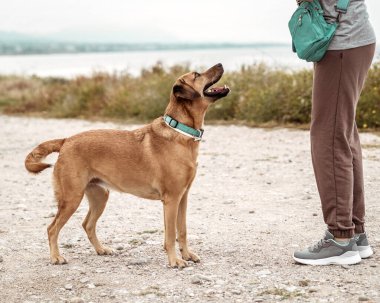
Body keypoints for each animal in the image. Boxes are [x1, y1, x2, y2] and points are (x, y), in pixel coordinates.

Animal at [26, 63, 232, 268]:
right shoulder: (172, 199)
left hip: (100, 196)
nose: (221, 64)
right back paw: (55, 257)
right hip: (72, 198)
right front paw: (175, 260)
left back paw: (101, 249)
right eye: (197, 75)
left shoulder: (183, 197)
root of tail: (66, 141)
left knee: (87, 224)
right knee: (52, 228)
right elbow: (171, 234)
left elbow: (182, 230)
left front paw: (187, 255)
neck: (180, 130)